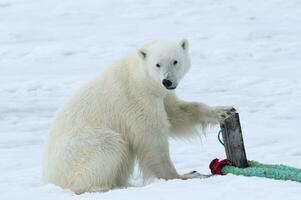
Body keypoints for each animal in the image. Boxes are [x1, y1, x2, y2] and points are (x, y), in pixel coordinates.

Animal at [42, 39, 234, 194]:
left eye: (175, 61)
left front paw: (224, 111)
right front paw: (185, 175)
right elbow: (152, 136)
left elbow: (176, 114)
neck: (141, 77)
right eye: (157, 64)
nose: (167, 81)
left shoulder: (161, 95)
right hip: (82, 148)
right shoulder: (136, 98)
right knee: (111, 145)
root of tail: (51, 178)